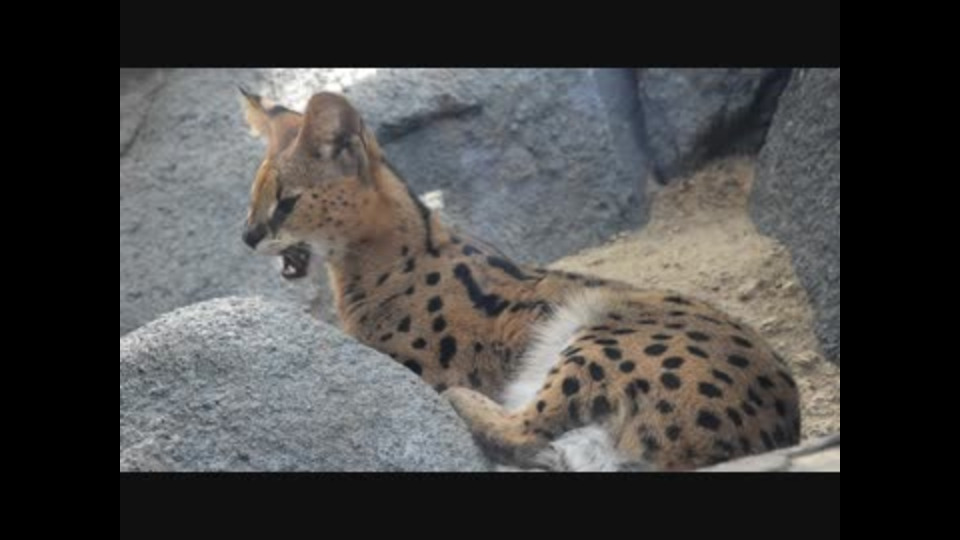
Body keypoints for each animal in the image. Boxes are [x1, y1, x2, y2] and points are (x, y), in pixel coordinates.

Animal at [237, 89, 802, 471]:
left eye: (286, 202)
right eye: (253, 197)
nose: (246, 236)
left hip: (602, 326)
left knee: (529, 431)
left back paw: (462, 399)